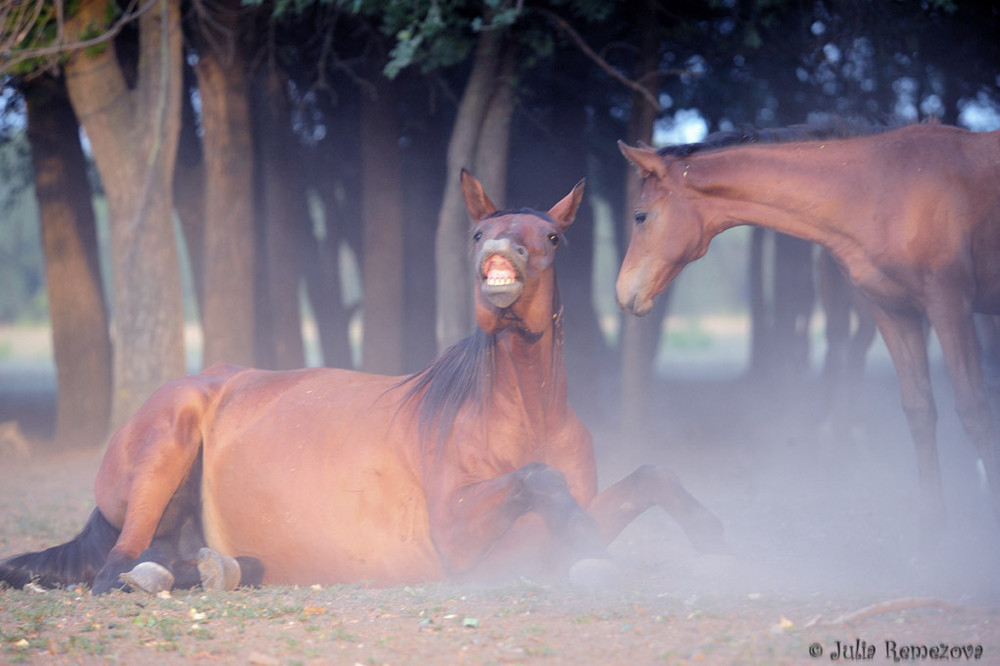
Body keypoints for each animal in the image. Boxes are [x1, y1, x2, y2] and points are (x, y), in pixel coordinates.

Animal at [0, 170, 728, 592]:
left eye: (550, 236)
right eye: (479, 232)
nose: (502, 255)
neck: (522, 412)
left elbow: (650, 478)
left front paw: (709, 535)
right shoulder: (457, 537)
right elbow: (539, 481)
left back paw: (228, 568)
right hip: (164, 450)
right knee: (115, 568)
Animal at [616, 120, 1000, 540]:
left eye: (640, 216)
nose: (622, 291)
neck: (884, 187)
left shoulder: (950, 307)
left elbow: (975, 411)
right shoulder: (895, 313)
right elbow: (919, 411)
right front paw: (932, 531)